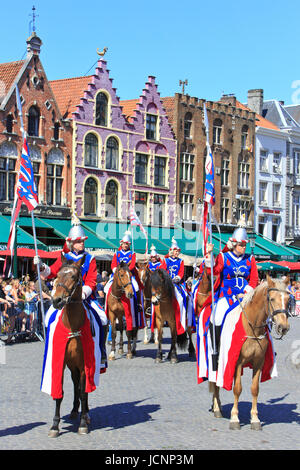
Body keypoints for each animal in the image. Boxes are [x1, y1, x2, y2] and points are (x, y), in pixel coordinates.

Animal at [209, 274, 290, 432]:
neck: (252, 326)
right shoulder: (237, 362)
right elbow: (237, 389)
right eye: (272, 299)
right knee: (215, 381)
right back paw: (216, 408)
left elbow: (254, 389)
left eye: (288, 299)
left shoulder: (259, 362)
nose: (283, 327)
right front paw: (235, 418)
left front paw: (255, 419)